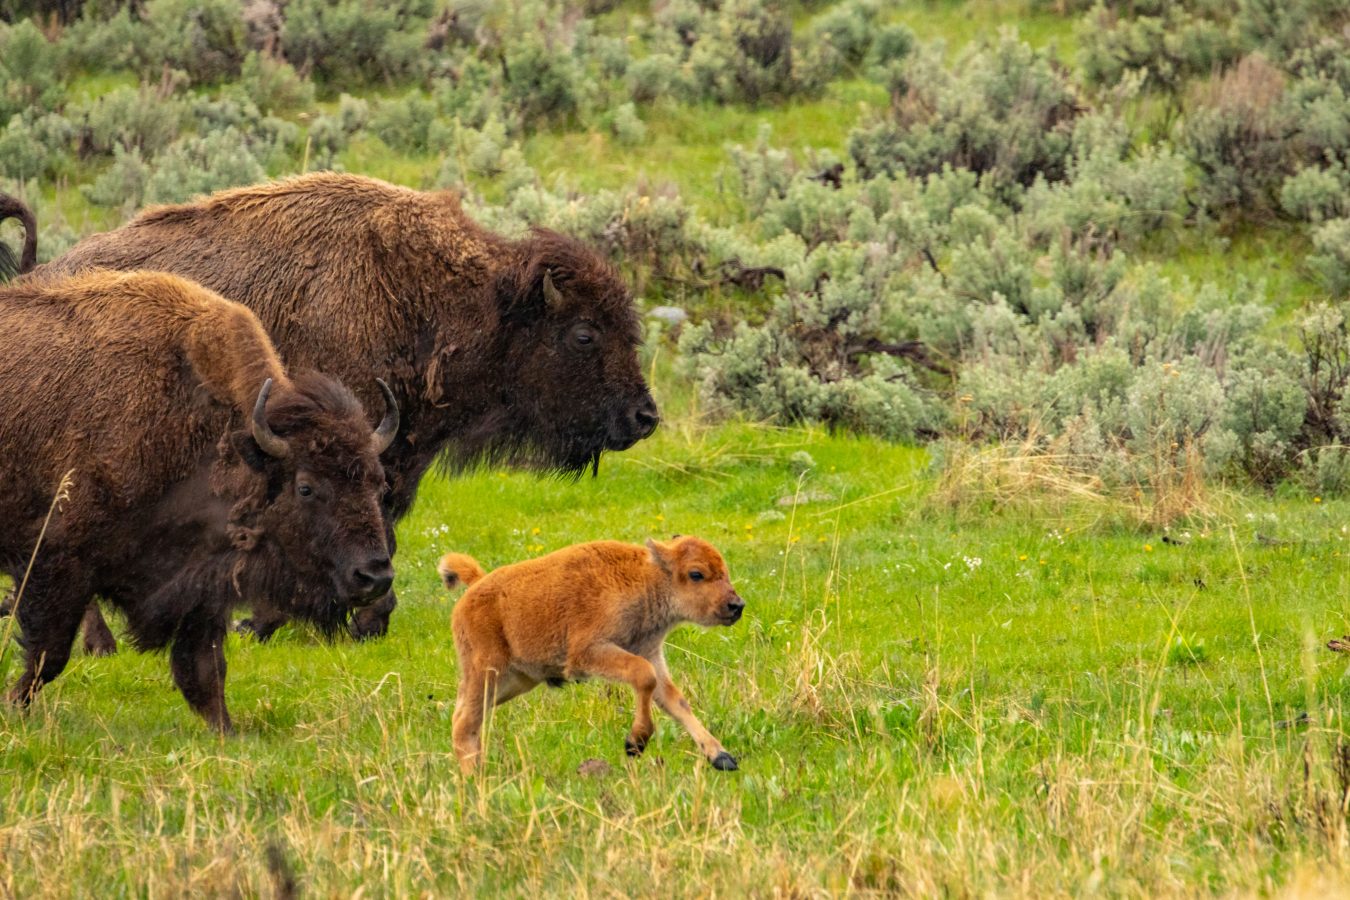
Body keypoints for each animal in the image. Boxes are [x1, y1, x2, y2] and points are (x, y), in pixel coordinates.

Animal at [0, 269, 399, 734]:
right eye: (306, 487)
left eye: (379, 485)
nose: (374, 576)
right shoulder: (56, 562)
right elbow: (49, 655)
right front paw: (14, 706)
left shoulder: (202, 581)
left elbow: (206, 670)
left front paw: (226, 732)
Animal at [5, 170, 658, 647]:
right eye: (583, 334)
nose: (645, 417)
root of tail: (39, 273)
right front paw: (291, 621)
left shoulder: (388, 458)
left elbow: (380, 526)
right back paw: (98, 644)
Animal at [440, 534, 739, 777]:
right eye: (696, 574)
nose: (737, 605)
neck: (645, 577)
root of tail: (475, 587)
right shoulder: (588, 653)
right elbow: (643, 675)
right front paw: (635, 743)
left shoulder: (650, 653)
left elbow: (676, 701)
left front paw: (722, 757)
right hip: (488, 671)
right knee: (464, 722)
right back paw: (473, 778)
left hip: (515, 680)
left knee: (468, 715)